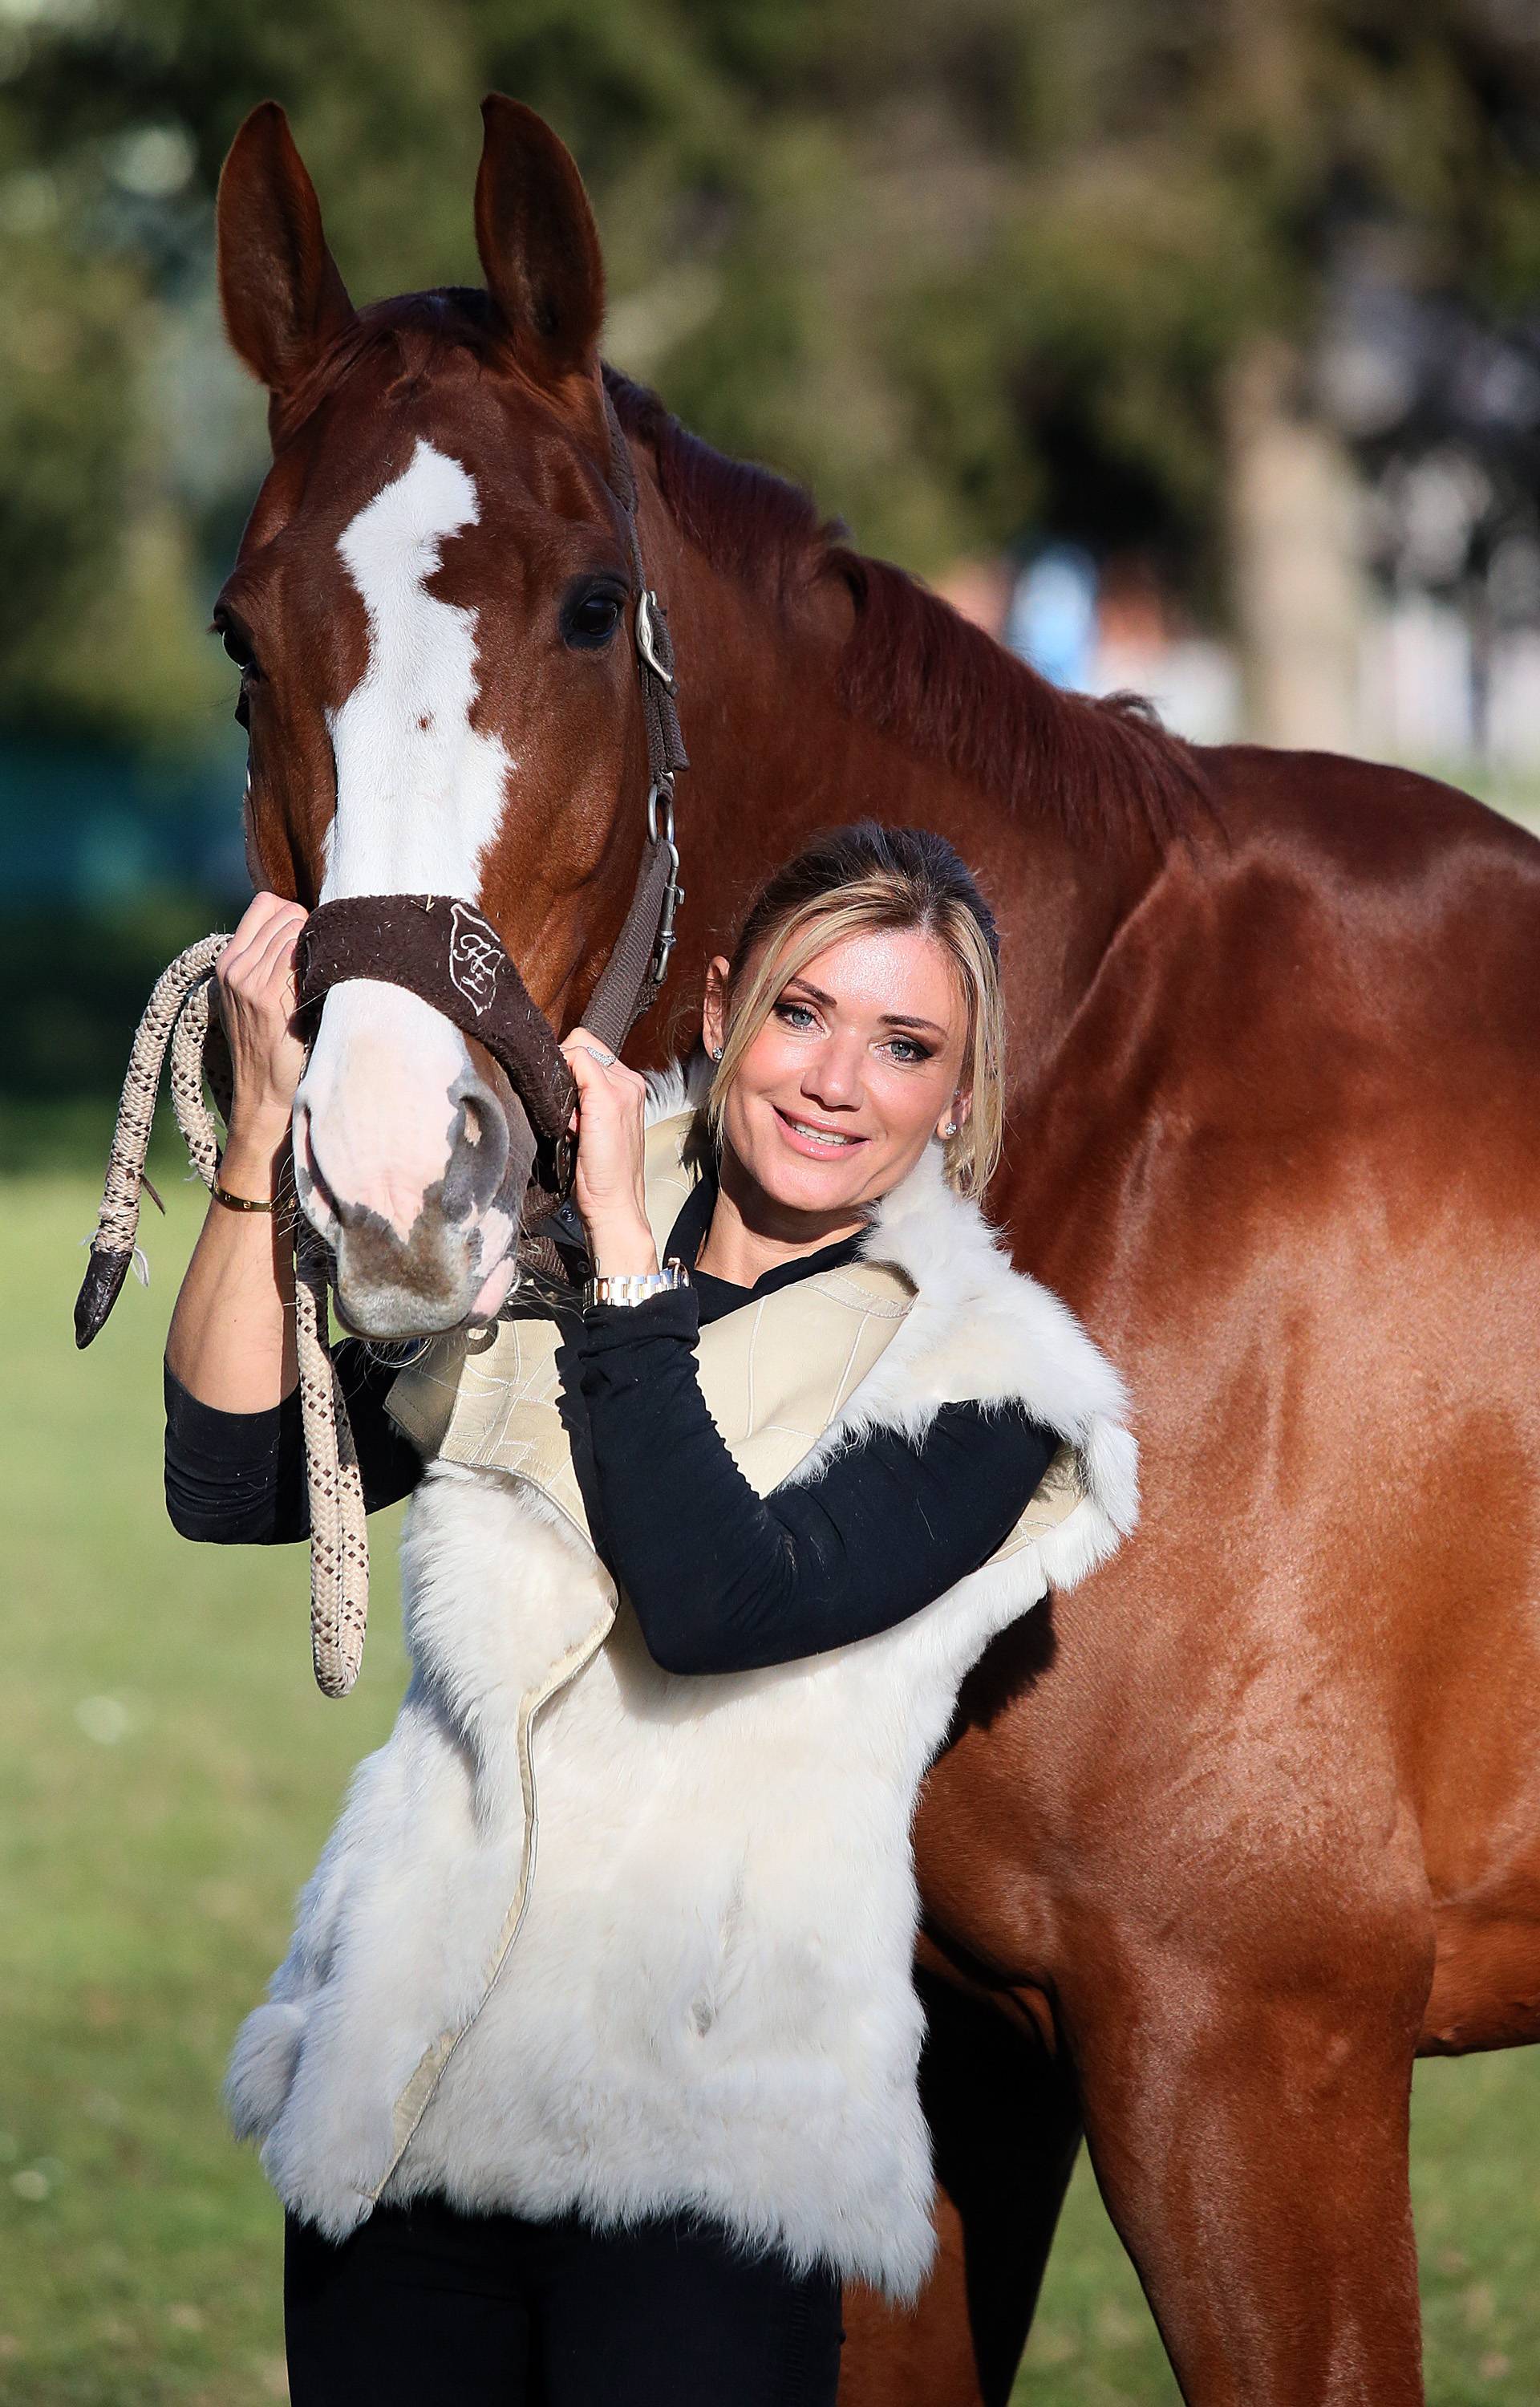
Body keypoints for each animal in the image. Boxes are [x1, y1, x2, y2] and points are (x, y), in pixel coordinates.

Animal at [207, 89, 1540, 2407]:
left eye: (588, 608)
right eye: (238, 636)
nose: (391, 1174)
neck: (1117, 1130)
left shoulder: (1253, 2051)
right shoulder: (958, 2067)